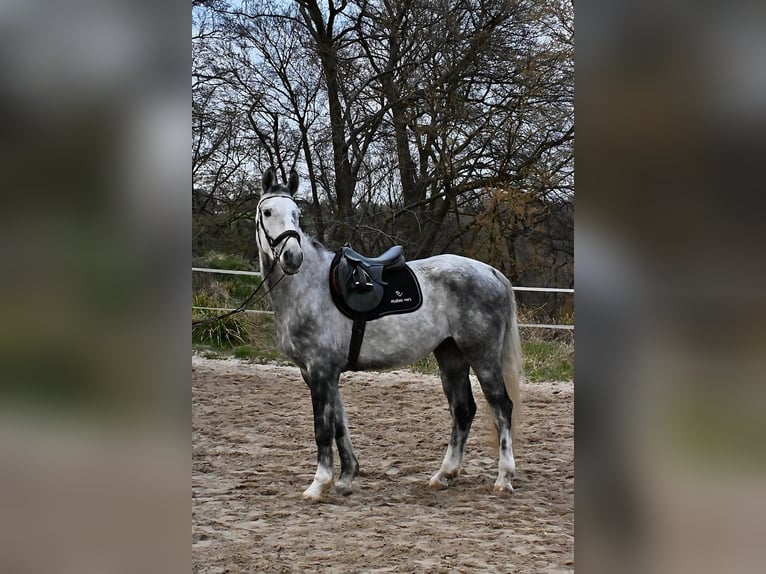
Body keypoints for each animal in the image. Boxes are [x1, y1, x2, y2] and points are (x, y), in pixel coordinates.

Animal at [255, 167, 522, 501]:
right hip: (451, 355)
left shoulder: (319, 371)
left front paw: (319, 483)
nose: (292, 256)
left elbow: (323, 428)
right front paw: (346, 477)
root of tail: (491, 272)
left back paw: (504, 478)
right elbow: (340, 424)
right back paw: (444, 474)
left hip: (482, 356)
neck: (310, 287)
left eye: (296, 214)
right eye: (267, 212)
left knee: (501, 406)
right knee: (463, 410)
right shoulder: (320, 373)